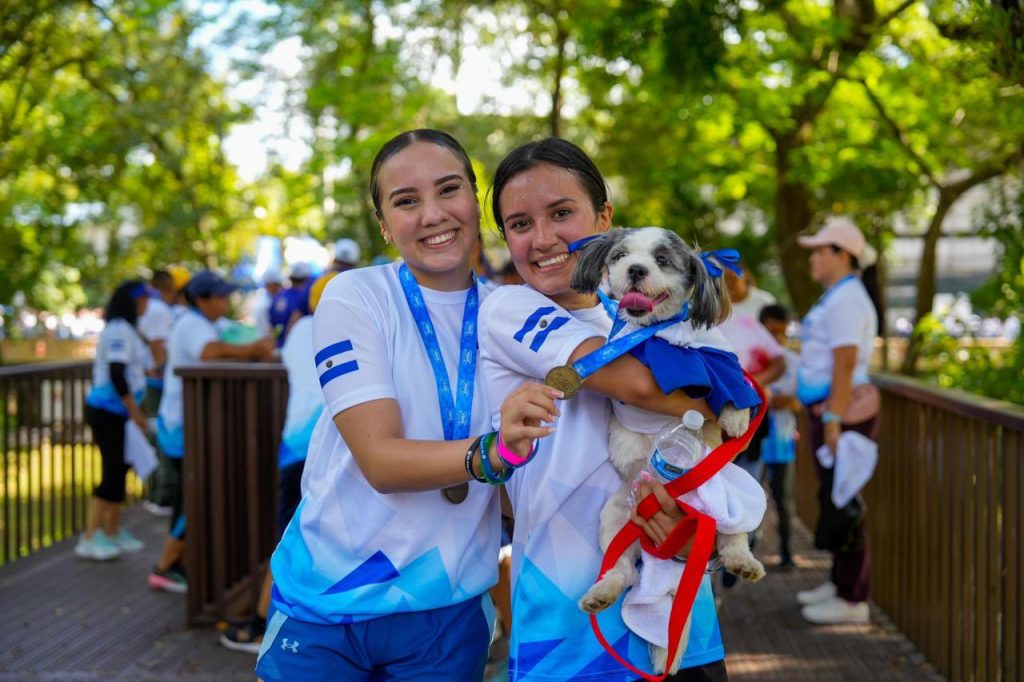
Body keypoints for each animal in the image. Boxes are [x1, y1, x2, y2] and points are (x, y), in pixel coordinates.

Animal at [573, 227, 765, 667]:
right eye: (621, 256)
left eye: (662, 260)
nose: (636, 269)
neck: (661, 336)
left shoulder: (719, 361)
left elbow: (731, 386)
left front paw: (735, 418)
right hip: (616, 515)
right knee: (624, 569)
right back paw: (600, 593)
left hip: (732, 495)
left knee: (731, 539)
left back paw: (744, 563)